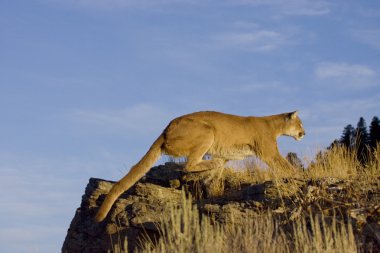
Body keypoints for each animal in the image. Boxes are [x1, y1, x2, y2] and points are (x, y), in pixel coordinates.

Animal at [95, 110, 306, 221]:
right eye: (300, 124)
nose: (304, 133)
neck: (275, 125)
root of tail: (165, 130)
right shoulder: (269, 153)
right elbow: (286, 167)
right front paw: (302, 176)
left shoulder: (228, 155)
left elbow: (216, 176)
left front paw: (212, 186)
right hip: (206, 131)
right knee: (189, 164)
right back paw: (208, 164)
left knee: (196, 165)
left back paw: (208, 168)